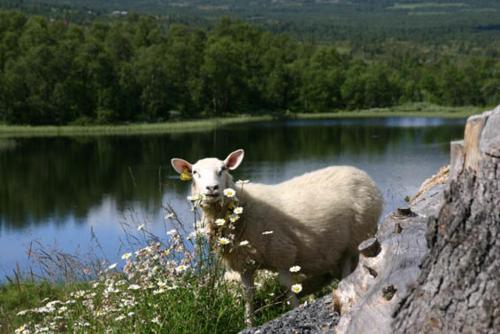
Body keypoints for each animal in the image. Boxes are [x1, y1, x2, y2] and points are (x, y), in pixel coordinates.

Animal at [172, 149, 382, 326]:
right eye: (195, 172)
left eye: (222, 169)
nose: (212, 188)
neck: (242, 209)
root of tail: (361, 173)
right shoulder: (244, 264)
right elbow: (248, 294)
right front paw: (249, 322)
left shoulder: (283, 254)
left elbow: (288, 289)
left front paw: (295, 309)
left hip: (355, 239)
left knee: (348, 269)